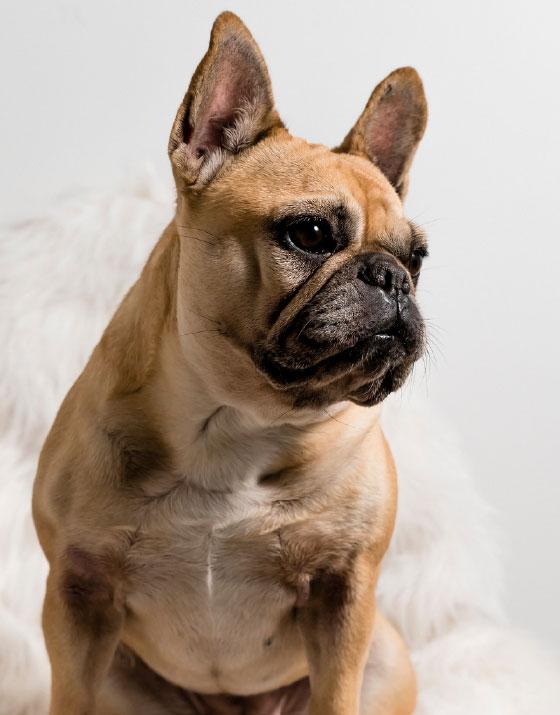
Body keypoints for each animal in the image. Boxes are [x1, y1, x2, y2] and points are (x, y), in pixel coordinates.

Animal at [32, 12, 428, 715]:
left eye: (419, 259)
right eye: (311, 234)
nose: (393, 278)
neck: (236, 421)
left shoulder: (344, 590)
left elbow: (337, 691)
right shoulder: (78, 593)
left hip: (385, 653)